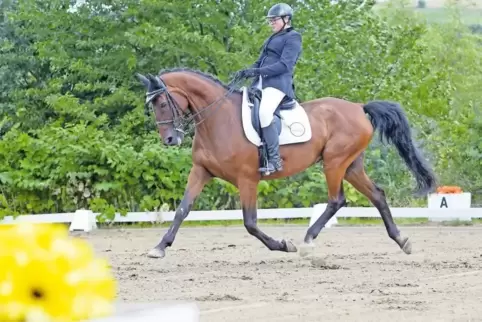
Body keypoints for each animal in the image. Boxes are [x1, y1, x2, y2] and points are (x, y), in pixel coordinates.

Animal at [136, 68, 436, 260]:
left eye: (162, 103)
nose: (170, 139)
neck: (218, 120)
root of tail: (359, 107)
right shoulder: (201, 171)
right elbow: (182, 210)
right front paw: (160, 247)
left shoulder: (247, 179)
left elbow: (250, 222)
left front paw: (283, 245)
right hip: (351, 166)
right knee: (377, 195)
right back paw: (402, 241)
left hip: (334, 162)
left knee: (336, 200)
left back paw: (306, 242)